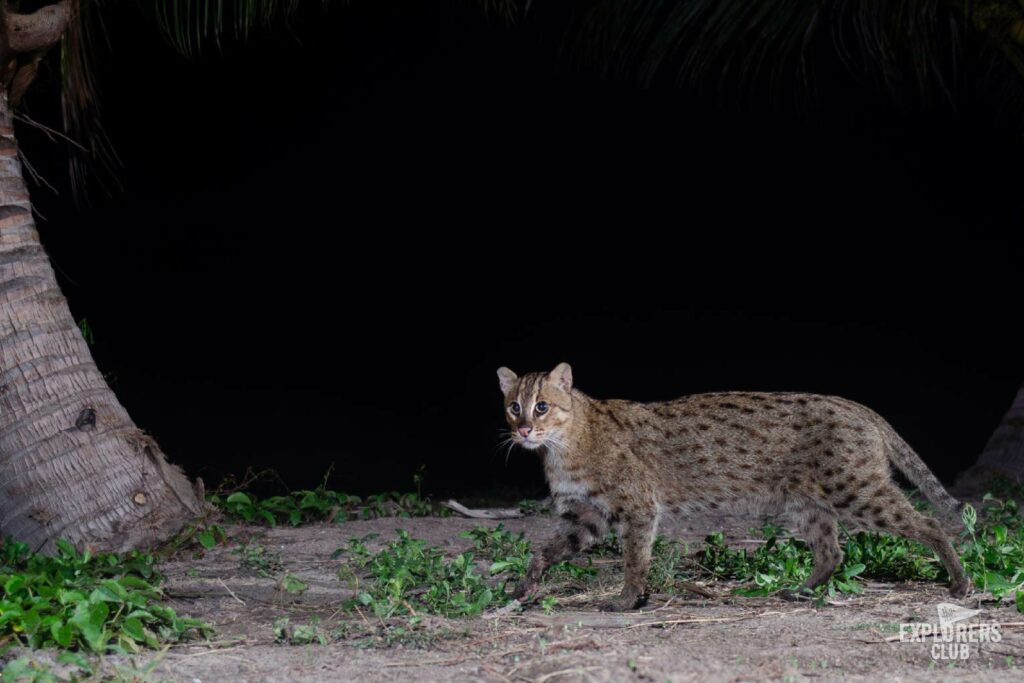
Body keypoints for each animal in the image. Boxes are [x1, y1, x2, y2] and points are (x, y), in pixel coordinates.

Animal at [499, 366, 970, 610]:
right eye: (513, 406)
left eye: (542, 407)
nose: (522, 430)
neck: (563, 444)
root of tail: (859, 406)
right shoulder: (589, 515)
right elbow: (546, 551)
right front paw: (525, 588)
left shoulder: (638, 507)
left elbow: (635, 560)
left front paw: (627, 599)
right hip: (807, 504)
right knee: (832, 551)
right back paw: (800, 590)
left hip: (854, 489)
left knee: (929, 523)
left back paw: (960, 582)